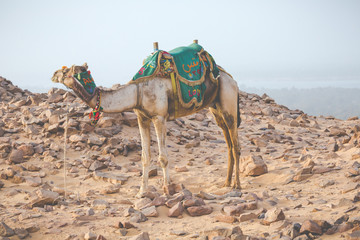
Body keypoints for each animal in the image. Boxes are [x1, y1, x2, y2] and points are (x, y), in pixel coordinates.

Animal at [51, 47, 242, 197]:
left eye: (66, 71)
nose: (53, 74)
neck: (138, 91)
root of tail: (231, 78)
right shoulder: (142, 118)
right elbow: (145, 157)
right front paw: (142, 192)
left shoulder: (159, 117)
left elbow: (163, 157)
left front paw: (167, 189)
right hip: (215, 108)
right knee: (228, 145)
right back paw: (226, 183)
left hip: (229, 100)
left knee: (236, 145)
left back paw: (237, 186)